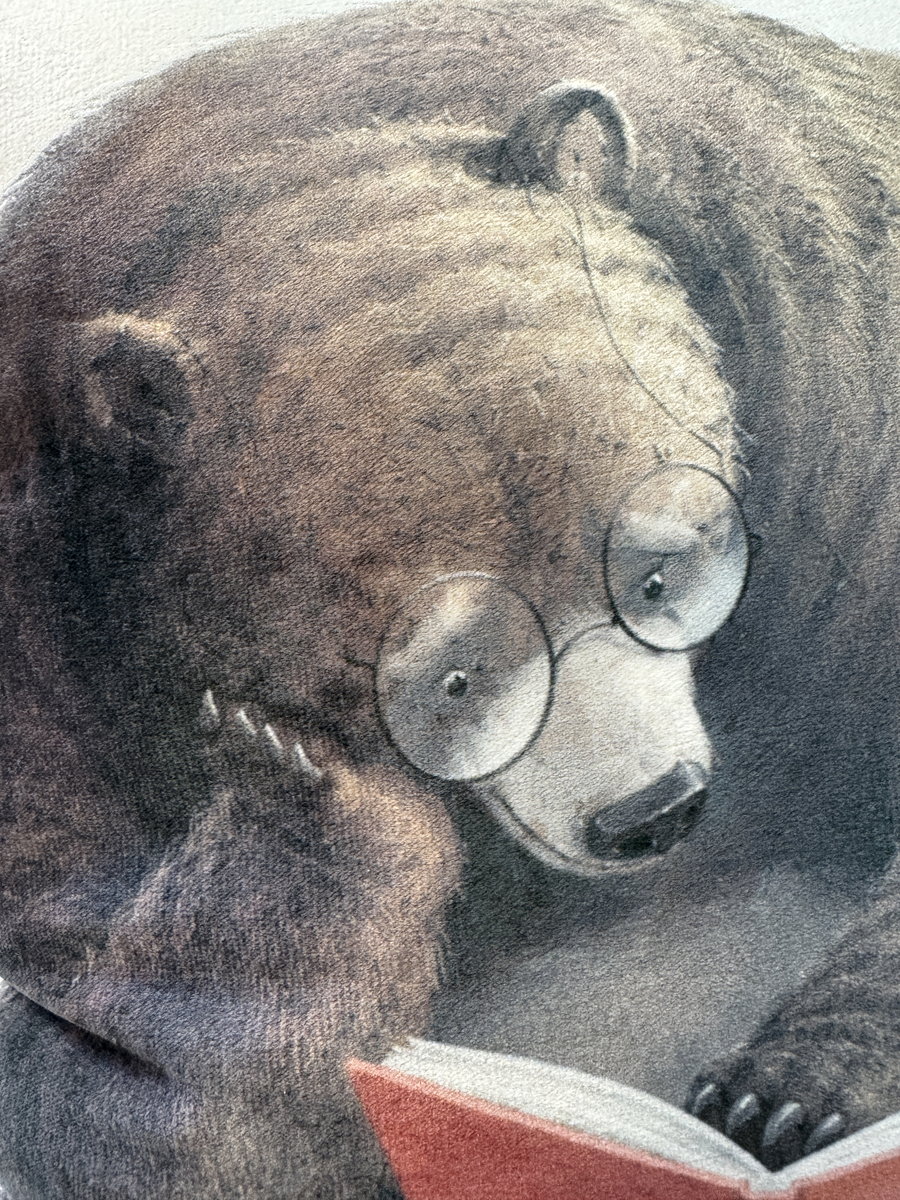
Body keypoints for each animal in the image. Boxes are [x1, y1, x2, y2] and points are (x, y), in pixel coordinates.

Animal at [0, 0, 898, 1195]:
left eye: (663, 571)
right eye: (454, 677)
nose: (650, 813)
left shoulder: (830, 376)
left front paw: (784, 1092)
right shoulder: (49, 622)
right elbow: (128, 1073)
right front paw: (307, 799)